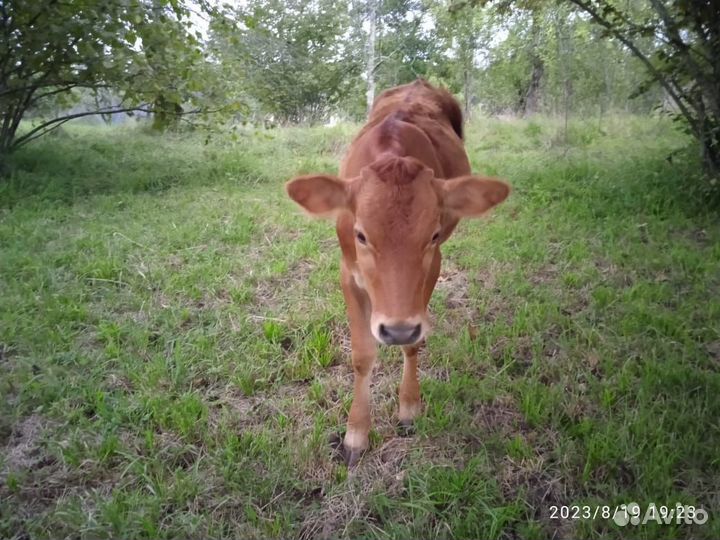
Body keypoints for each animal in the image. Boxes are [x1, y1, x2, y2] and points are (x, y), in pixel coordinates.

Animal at [286, 79, 510, 466]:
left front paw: (409, 407)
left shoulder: (434, 268)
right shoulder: (348, 274)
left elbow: (415, 344)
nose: (396, 329)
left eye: (433, 234)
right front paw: (356, 434)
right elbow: (362, 356)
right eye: (361, 235)